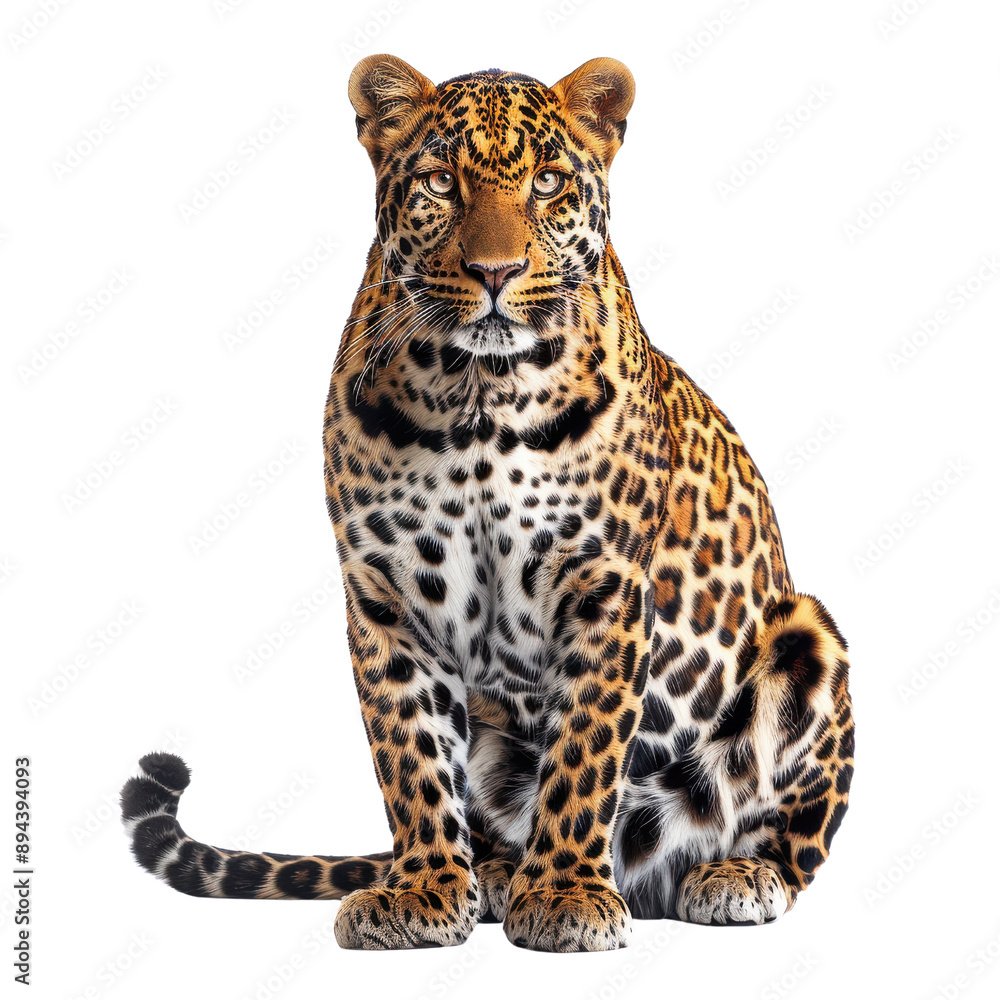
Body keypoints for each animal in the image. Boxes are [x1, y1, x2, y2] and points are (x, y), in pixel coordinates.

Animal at [121, 55, 854, 953]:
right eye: (441, 182)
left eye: (547, 183)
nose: (495, 273)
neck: (479, 393)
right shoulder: (386, 594)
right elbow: (409, 755)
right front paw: (424, 891)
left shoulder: (605, 587)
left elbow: (584, 752)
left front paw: (567, 894)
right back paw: (496, 873)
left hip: (807, 636)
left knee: (784, 833)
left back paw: (733, 876)